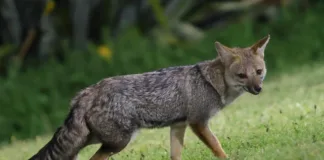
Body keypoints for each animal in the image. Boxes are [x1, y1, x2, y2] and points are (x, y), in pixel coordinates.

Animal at [29, 34, 270, 160]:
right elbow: (217, 146)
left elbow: (175, 155)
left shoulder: (179, 126)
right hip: (118, 142)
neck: (210, 82)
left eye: (259, 72)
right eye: (242, 75)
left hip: (92, 142)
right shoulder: (198, 122)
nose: (258, 89)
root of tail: (86, 93)